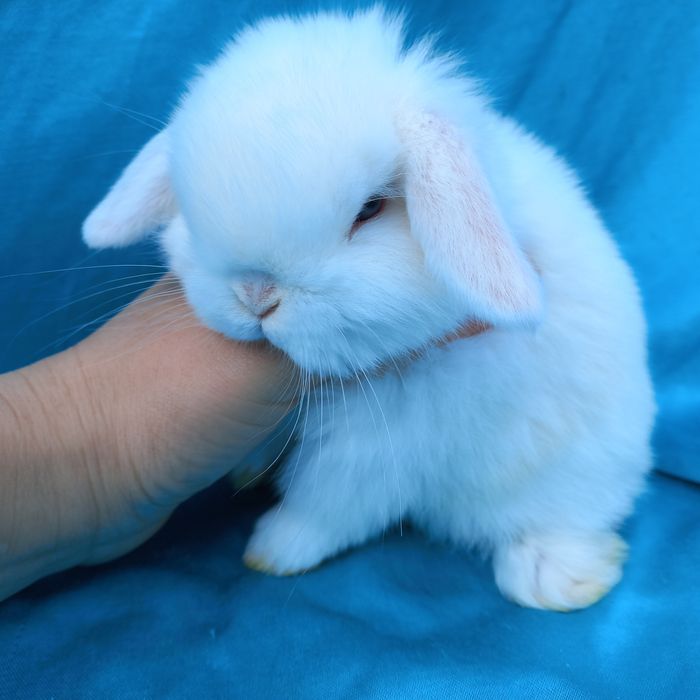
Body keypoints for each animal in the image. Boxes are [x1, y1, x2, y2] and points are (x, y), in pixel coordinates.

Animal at [82, 7, 655, 611]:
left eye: (371, 210)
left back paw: (556, 576)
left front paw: (273, 550)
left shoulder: (374, 453)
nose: (257, 296)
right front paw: (250, 473)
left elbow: (325, 509)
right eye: (190, 217)